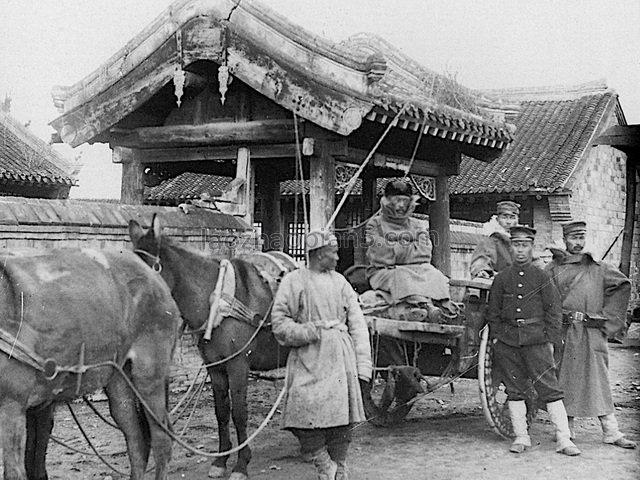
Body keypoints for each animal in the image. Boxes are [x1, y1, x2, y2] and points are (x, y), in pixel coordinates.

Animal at [0, 248, 180, 480]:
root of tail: (153, 274)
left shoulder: (12, 406)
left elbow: (15, 472)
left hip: (149, 376)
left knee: (161, 439)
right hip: (120, 378)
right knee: (136, 438)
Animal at [130, 217, 284, 480]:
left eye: (149, 269)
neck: (220, 300)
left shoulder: (238, 365)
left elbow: (239, 413)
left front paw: (241, 464)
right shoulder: (215, 366)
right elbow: (221, 412)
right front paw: (220, 461)